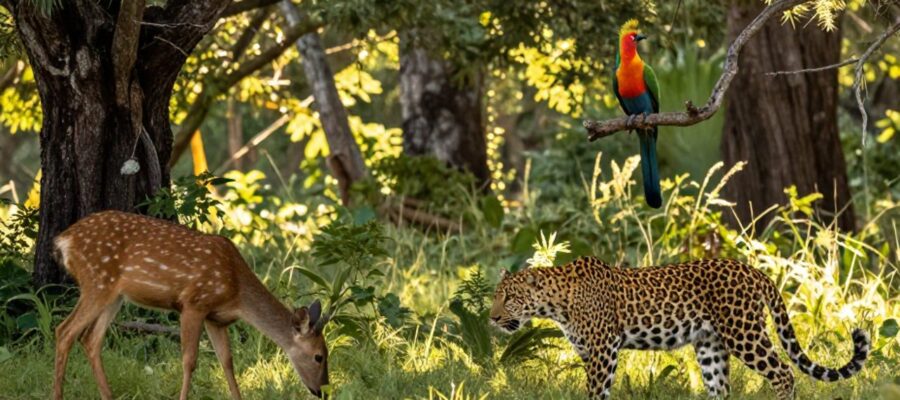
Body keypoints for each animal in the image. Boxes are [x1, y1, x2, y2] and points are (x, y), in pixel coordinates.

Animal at [51, 210, 330, 400]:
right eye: (319, 356)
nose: (322, 390)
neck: (237, 293)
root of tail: (64, 239)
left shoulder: (216, 318)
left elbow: (227, 360)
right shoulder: (193, 304)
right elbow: (189, 360)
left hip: (114, 295)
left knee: (90, 338)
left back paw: (108, 396)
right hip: (97, 281)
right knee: (64, 331)